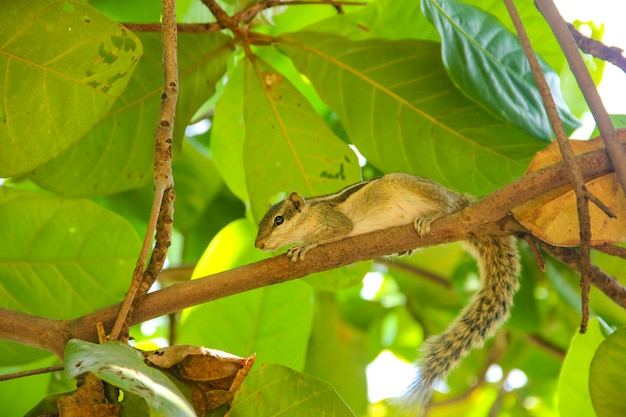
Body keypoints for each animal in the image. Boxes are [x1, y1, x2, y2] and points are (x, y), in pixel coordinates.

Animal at [251, 172, 520, 406]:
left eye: (278, 220)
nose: (258, 244)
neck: (311, 212)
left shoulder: (334, 221)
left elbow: (335, 231)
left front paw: (304, 245)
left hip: (417, 189)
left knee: (447, 207)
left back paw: (432, 215)